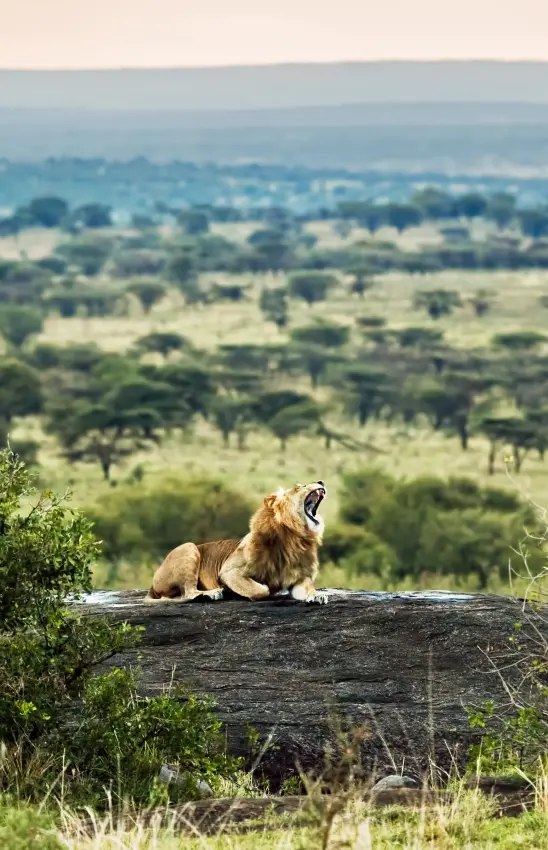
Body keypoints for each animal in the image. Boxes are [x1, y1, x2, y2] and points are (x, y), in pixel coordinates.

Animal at [144, 480, 328, 605]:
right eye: (299, 487)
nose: (320, 482)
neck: (293, 537)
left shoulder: (299, 578)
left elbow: (308, 588)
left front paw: (316, 595)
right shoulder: (229, 572)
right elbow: (262, 589)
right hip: (189, 548)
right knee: (188, 592)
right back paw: (212, 593)